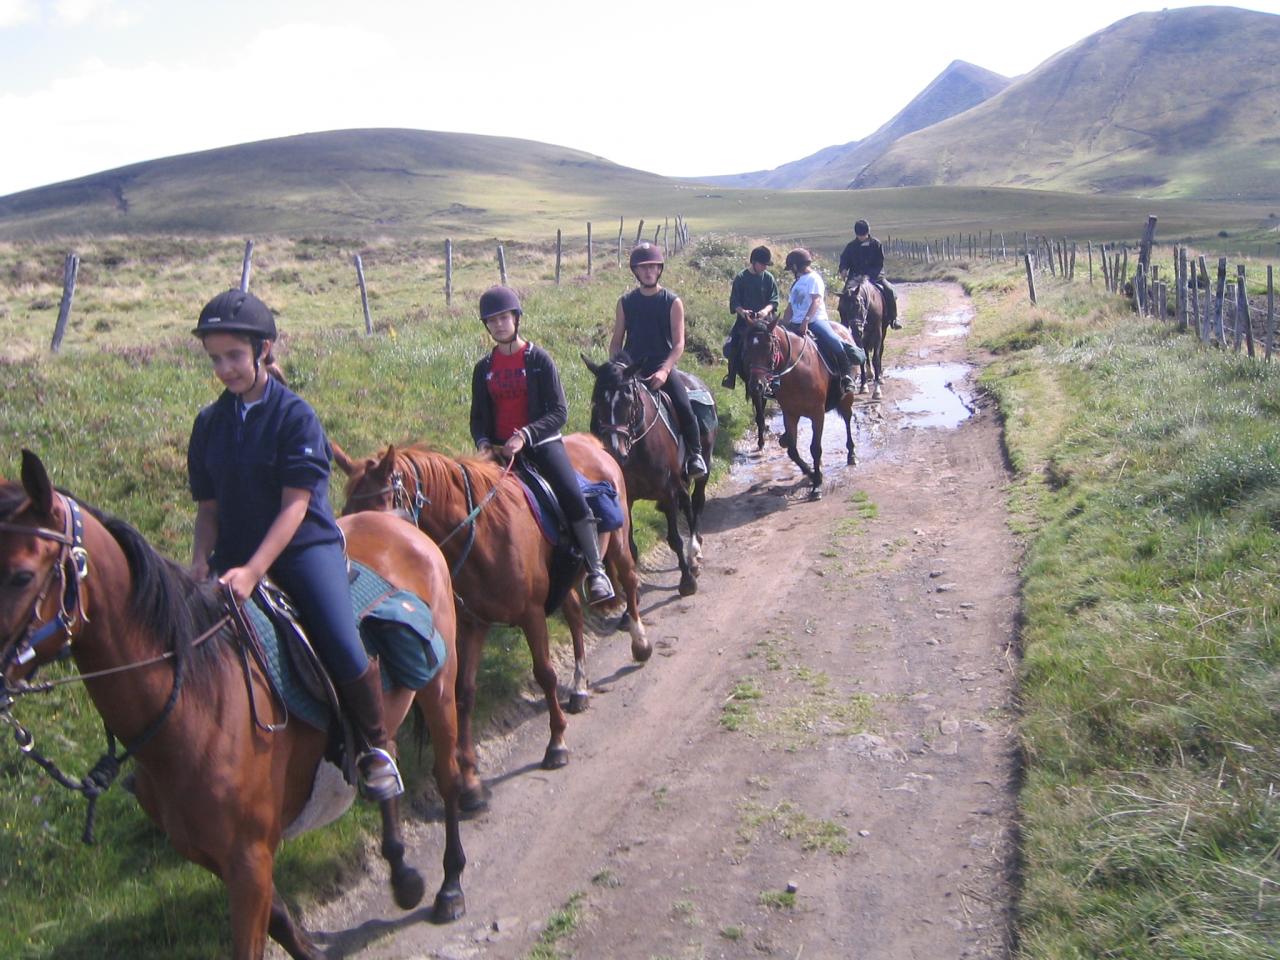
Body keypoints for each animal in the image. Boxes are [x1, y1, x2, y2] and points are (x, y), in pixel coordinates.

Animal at [0, 450, 468, 960]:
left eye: (21, 575)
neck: (194, 705)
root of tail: (397, 525)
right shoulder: (217, 856)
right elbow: (281, 921)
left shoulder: (248, 858)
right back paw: (402, 873)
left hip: (439, 687)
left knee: (446, 777)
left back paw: (450, 886)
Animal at [335, 435, 645, 814]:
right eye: (348, 512)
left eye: (380, 507)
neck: (481, 531)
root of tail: (591, 442)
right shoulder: (472, 626)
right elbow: (464, 695)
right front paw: (470, 783)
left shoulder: (531, 614)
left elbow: (544, 674)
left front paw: (556, 743)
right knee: (574, 615)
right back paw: (580, 687)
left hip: (617, 543)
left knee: (628, 581)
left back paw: (640, 643)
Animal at [583, 358, 716, 599]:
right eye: (597, 401)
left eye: (628, 399)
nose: (614, 450)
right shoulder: (627, 497)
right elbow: (631, 548)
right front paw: (631, 595)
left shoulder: (668, 491)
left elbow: (674, 539)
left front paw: (687, 581)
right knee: (688, 504)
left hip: (703, 468)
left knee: (697, 501)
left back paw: (694, 553)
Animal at [737, 320, 855, 504]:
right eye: (746, 348)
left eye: (769, 347)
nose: (756, 386)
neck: (798, 371)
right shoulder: (790, 414)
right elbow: (792, 450)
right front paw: (812, 473)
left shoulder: (817, 414)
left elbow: (815, 448)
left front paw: (817, 485)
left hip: (846, 398)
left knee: (848, 420)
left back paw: (851, 454)